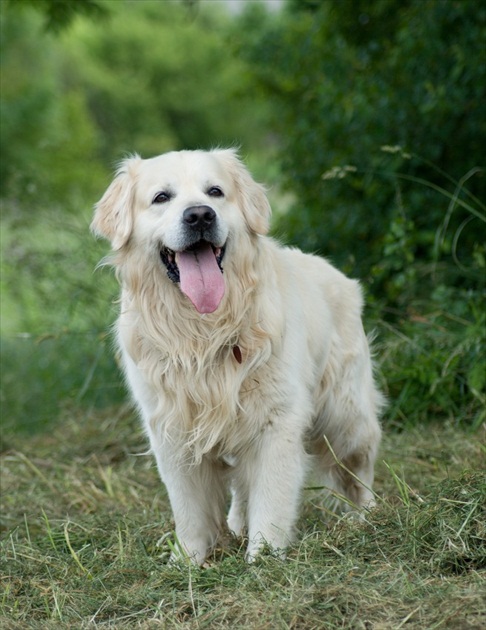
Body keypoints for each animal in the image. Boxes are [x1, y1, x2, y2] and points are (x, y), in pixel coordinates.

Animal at [92, 149, 384, 568]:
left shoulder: (276, 421)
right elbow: (190, 509)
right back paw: (236, 524)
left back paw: (366, 518)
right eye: (161, 197)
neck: (202, 331)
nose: (200, 215)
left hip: (346, 418)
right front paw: (188, 561)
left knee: (360, 471)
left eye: (215, 192)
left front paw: (263, 558)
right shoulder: (172, 429)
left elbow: (272, 497)